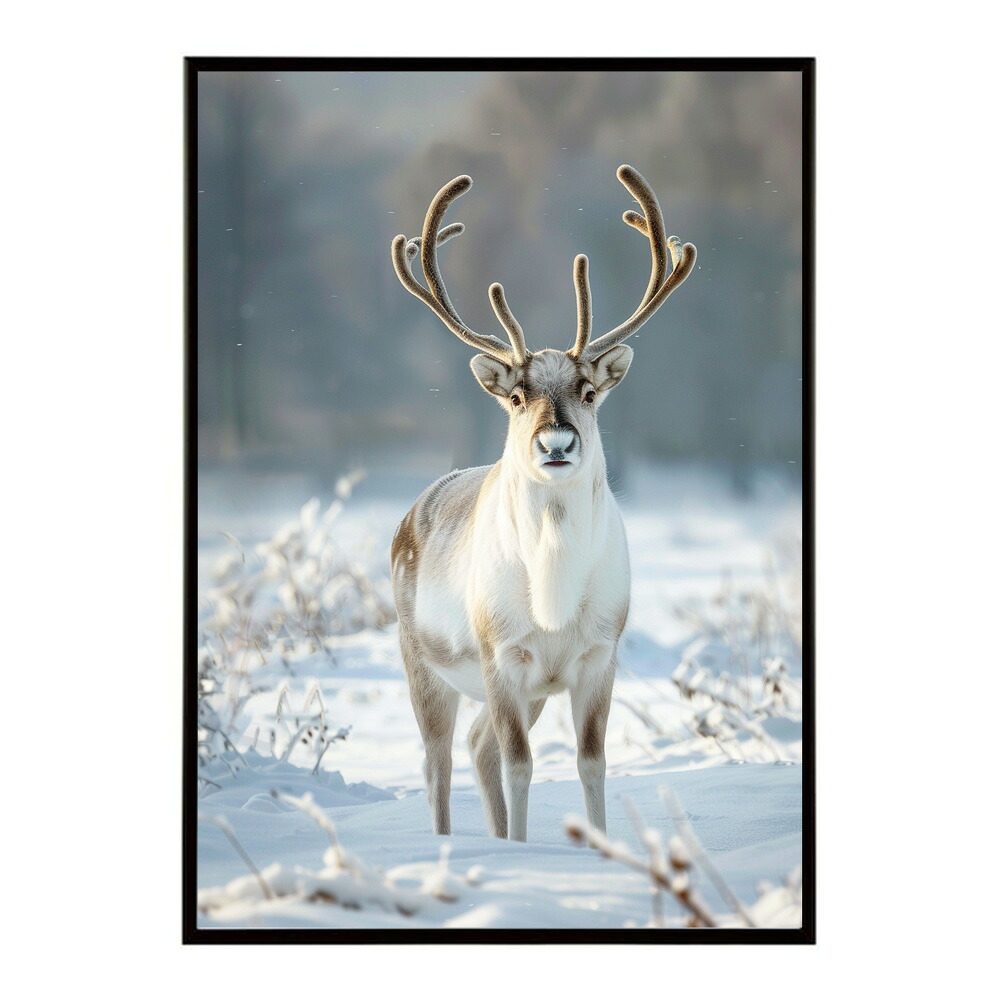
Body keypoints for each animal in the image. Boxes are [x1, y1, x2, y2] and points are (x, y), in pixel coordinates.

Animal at [389, 165, 696, 842]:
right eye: (516, 396)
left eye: (588, 391)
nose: (556, 443)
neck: (553, 598)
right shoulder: (502, 654)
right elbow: (521, 764)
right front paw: (526, 850)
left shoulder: (600, 654)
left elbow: (591, 761)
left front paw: (598, 846)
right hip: (421, 659)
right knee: (438, 760)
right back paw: (447, 842)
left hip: (526, 690)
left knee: (476, 746)